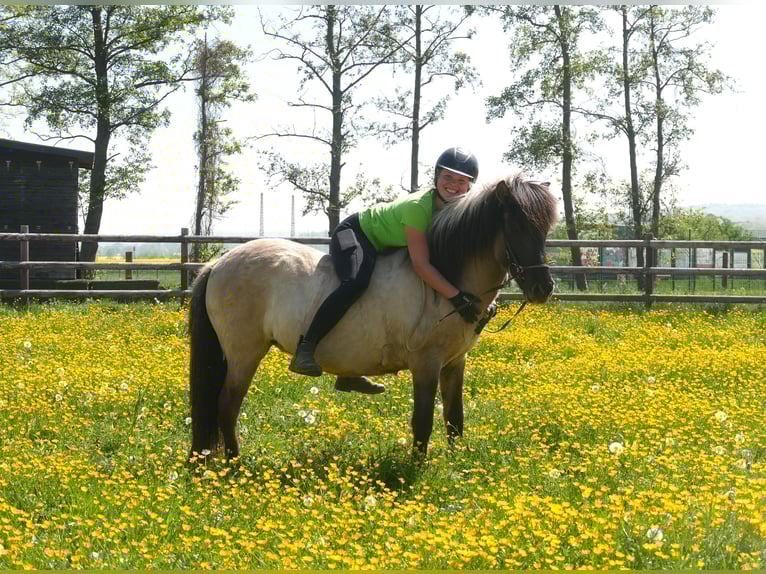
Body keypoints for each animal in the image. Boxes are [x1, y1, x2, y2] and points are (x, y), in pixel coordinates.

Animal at [189, 174, 557, 459]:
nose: (543, 287)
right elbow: (423, 421)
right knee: (227, 406)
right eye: (516, 226)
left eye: (545, 229)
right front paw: (416, 471)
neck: (447, 282)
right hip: (244, 353)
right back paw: (236, 466)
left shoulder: (454, 363)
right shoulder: (426, 363)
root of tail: (217, 265)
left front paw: (458, 465)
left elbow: (455, 418)